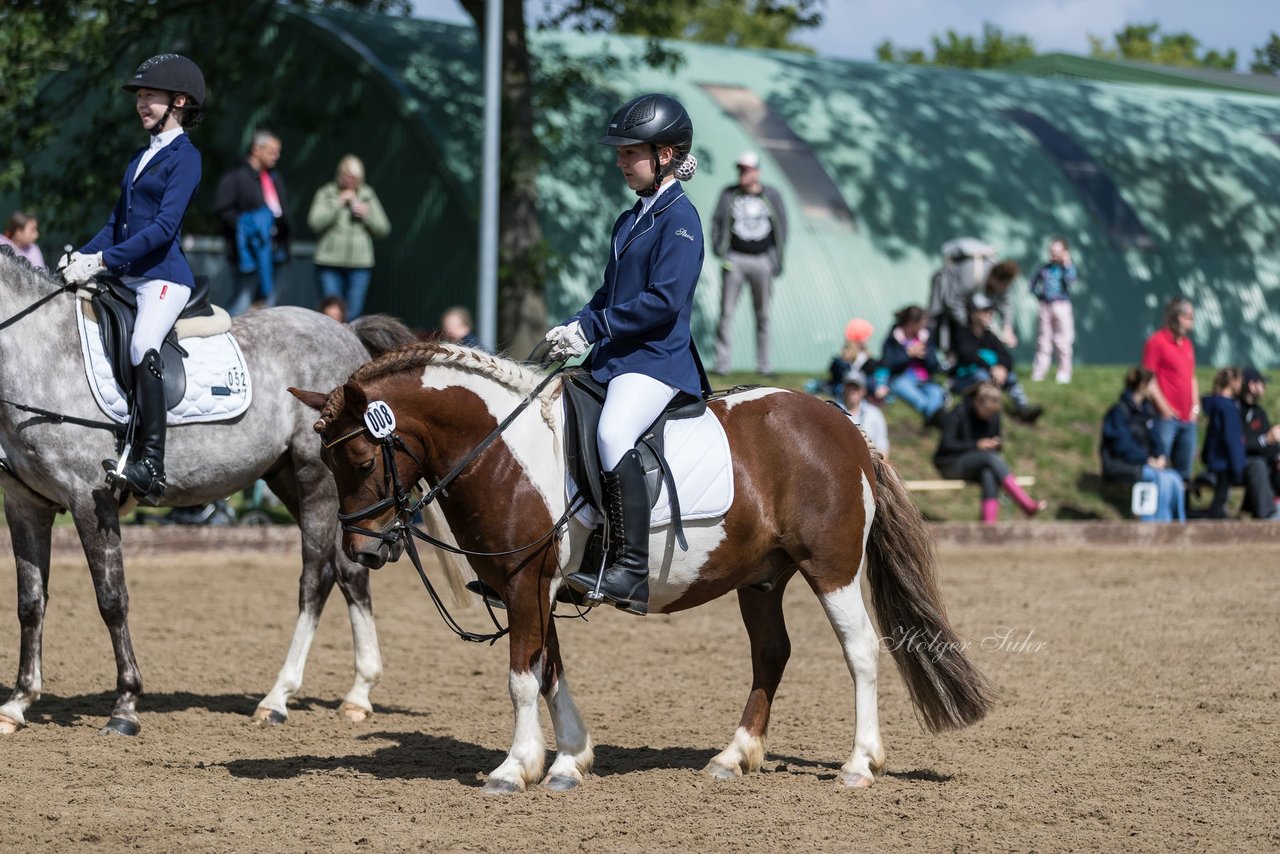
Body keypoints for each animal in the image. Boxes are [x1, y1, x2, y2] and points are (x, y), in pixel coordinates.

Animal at [0, 250, 414, 737]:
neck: (39, 353)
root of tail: (347, 332)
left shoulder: (90, 500)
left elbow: (112, 600)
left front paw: (125, 706)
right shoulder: (25, 506)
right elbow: (30, 603)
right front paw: (17, 704)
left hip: (318, 480)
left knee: (318, 578)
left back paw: (277, 698)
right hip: (295, 480)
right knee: (352, 571)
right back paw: (358, 695)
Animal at [293, 343, 998, 793]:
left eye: (361, 460)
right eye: (326, 463)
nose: (364, 551)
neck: (505, 448)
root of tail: (845, 425)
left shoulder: (524, 582)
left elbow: (522, 677)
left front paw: (514, 768)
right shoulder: (539, 588)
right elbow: (551, 672)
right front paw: (569, 761)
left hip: (832, 569)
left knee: (860, 652)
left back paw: (858, 764)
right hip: (762, 578)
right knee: (772, 653)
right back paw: (733, 756)